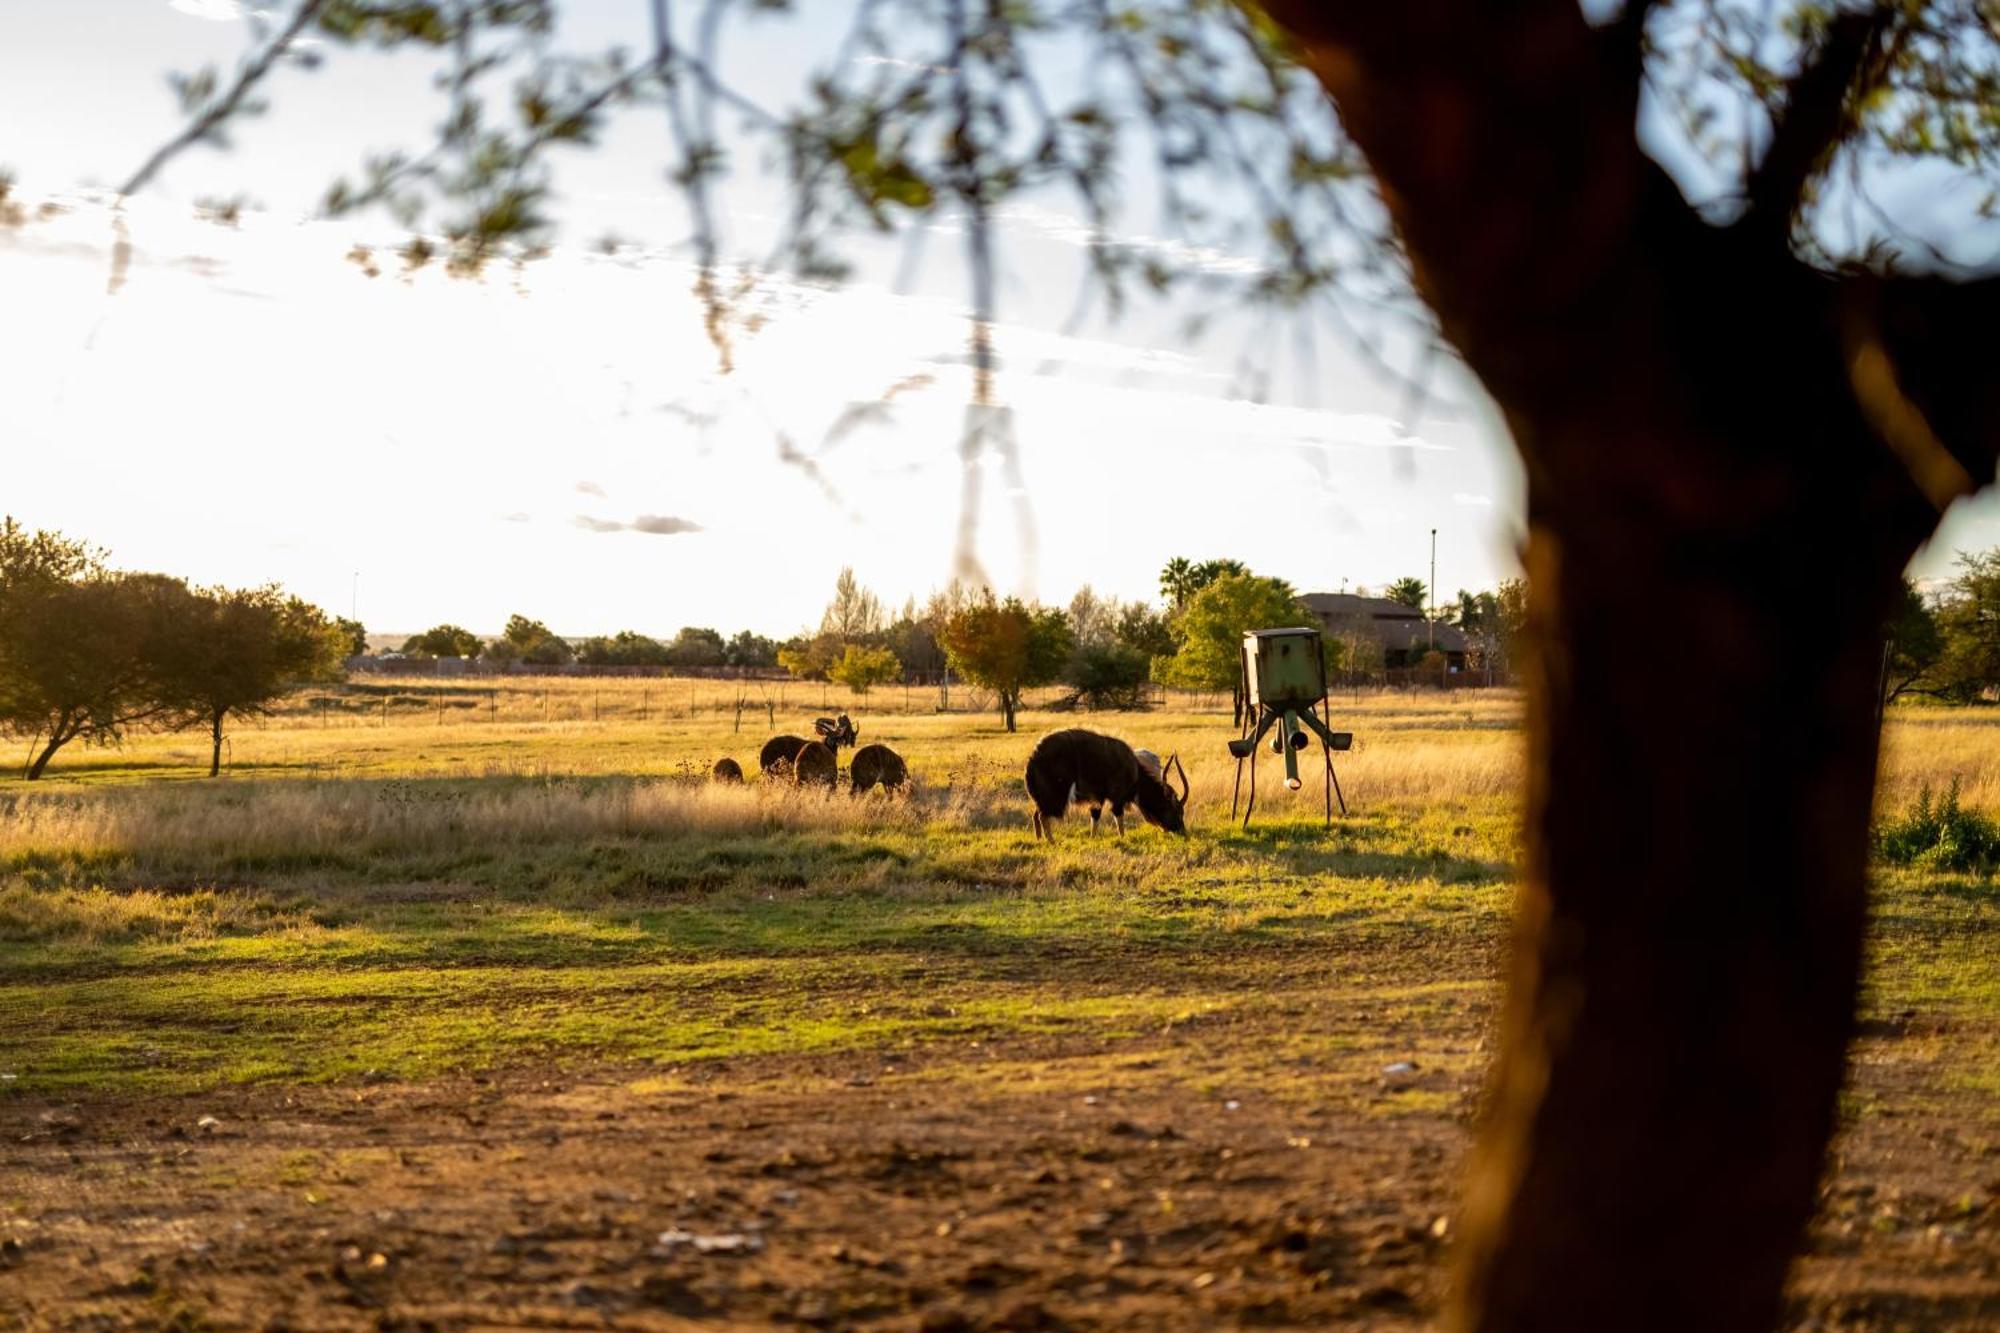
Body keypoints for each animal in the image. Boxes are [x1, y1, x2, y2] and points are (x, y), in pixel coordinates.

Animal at [1024, 728, 1176, 840]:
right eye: (1170, 807)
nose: (1178, 829)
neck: (1135, 771)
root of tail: (1033, 757)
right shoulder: (1116, 798)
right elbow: (1118, 817)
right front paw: (1122, 838)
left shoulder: (1098, 798)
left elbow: (1095, 816)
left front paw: (1092, 838)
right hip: (1055, 798)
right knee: (1043, 817)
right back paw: (1052, 842)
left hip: (1044, 799)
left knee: (1036, 815)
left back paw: (1039, 839)